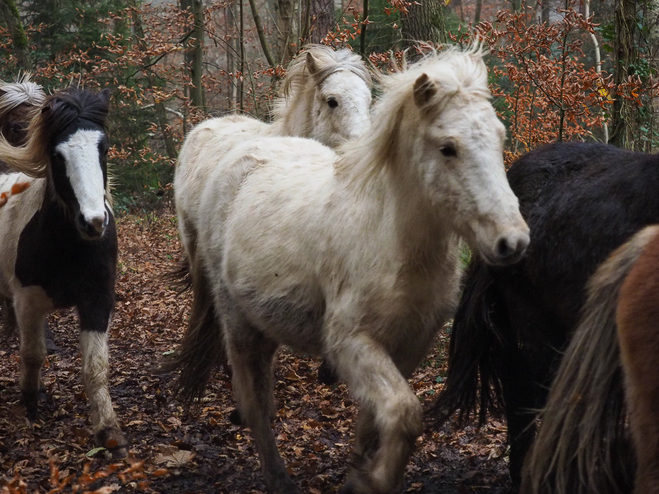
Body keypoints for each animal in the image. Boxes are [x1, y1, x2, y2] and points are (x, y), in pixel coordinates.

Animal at [0, 88, 125, 452]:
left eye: (104, 148)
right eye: (58, 155)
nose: (94, 222)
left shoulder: (97, 300)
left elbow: (96, 367)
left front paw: (108, 429)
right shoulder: (28, 301)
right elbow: (32, 355)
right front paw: (29, 402)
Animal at [171, 44, 532, 492]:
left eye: (499, 139)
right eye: (448, 147)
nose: (512, 241)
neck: (391, 242)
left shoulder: (410, 345)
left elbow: (374, 423)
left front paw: (359, 471)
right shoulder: (350, 343)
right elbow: (403, 413)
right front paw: (370, 479)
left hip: (265, 317)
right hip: (237, 321)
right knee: (252, 400)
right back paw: (277, 476)